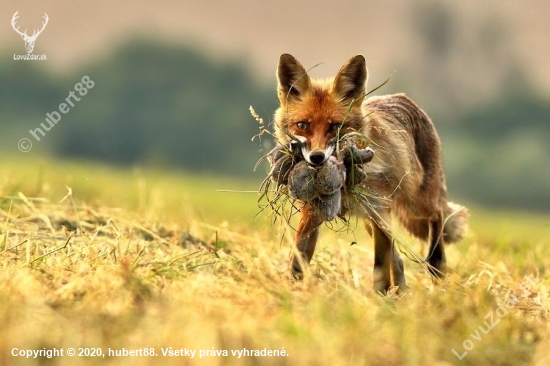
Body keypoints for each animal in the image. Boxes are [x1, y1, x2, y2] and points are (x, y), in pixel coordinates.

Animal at [274, 53, 468, 292]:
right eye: (302, 125)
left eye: (336, 127)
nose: (317, 158)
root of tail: (403, 98)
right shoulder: (313, 213)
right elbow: (297, 260)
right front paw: (292, 291)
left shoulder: (379, 211)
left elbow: (380, 267)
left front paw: (380, 297)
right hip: (372, 220)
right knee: (398, 259)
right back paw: (402, 292)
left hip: (416, 203)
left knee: (437, 215)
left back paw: (436, 262)